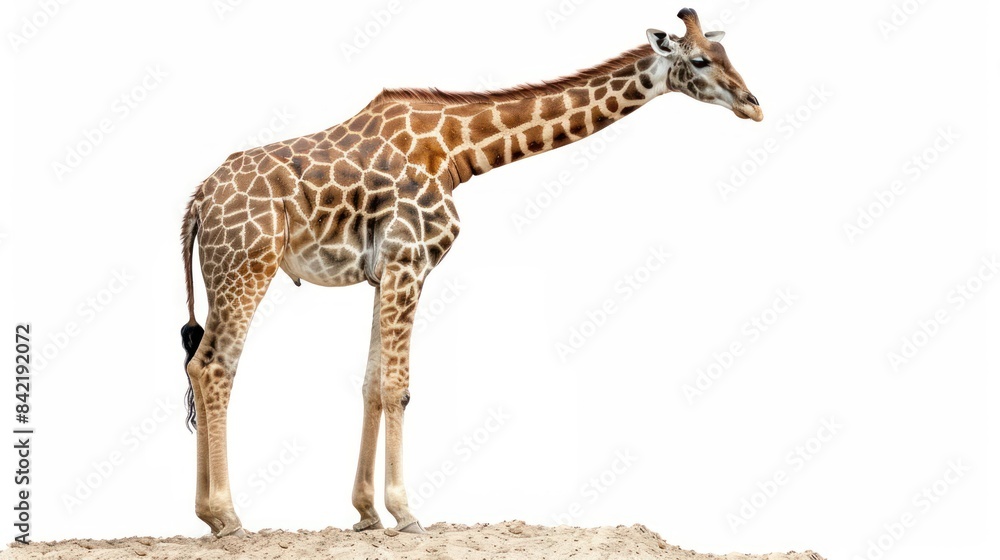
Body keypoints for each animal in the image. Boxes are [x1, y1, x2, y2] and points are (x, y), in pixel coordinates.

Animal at [180, 8, 761, 538]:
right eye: (701, 59)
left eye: (728, 52)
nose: (753, 105)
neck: (459, 151)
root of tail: (199, 201)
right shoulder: (409, 261)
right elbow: (398, 387)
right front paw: (406, 513)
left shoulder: (384, 272)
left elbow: (371, 384)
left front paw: (367, 514)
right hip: (247, 266)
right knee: (215, 367)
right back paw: (227, 518)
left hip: (222, 272)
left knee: (197, 364)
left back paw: (210, 517)